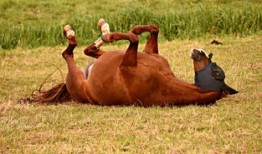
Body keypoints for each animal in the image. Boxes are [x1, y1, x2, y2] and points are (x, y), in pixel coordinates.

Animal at [28, 24, 237, 106]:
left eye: (217, 72)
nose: (199, 50)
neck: (163, 82)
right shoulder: (150, 54)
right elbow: (150, 30)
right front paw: (133, 29)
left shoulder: (126, 64)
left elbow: (134, 39)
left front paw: (112, 36)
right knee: (89, 51)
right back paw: (100, 35)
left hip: (75, 76)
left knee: (68, 53)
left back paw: (75, 34)